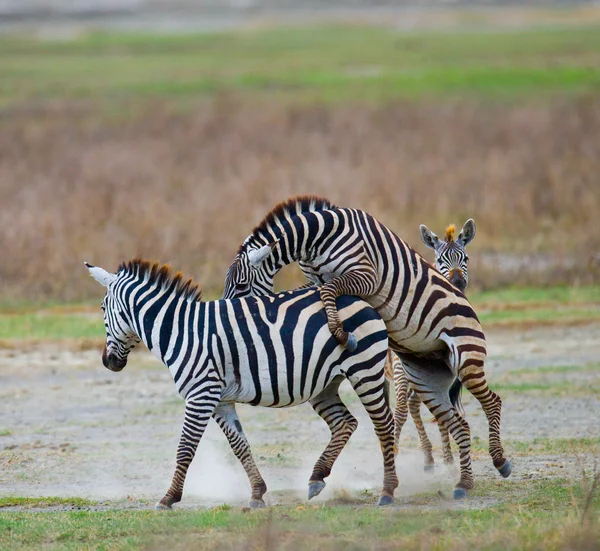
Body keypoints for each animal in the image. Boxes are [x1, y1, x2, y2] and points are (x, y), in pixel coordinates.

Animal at [82, 258, 396, 508]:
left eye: (102, 308)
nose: (108, 362)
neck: (181, 331)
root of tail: (358, 298)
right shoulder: (220, 400)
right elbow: (240, 445)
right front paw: (257, 494)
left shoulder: (201, 395)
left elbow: (185, 448)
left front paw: (168, 498)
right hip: (325, 384)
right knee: (345, 423)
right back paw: (316, 478)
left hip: (365, 370)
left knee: (384, 425)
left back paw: (388, 491)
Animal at [392, 220, 476, 474]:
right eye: (440, 260)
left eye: (465, 258)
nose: (457, 283)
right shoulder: (400, 370)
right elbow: (400, 413)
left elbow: (442, 414)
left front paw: (449, 459)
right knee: (405, 408)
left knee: (416, 406)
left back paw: (433, 457)